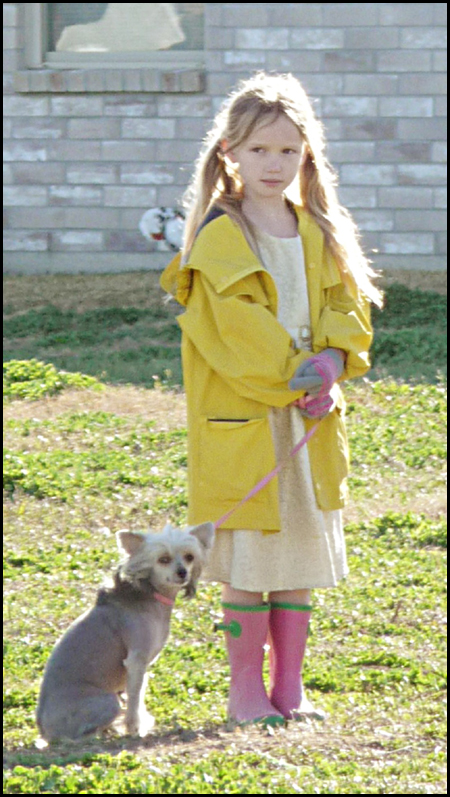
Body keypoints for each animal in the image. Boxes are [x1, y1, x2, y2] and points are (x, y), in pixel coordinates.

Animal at [37, 524, 214, 740]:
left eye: (189, 557)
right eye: (163, 559)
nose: (182, 572)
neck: (148, 594)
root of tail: (44, 730)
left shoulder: (142, 667)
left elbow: (139, 695)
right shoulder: (136, 662)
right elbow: (134, 699)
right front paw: (133, 728)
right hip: (109, 702)